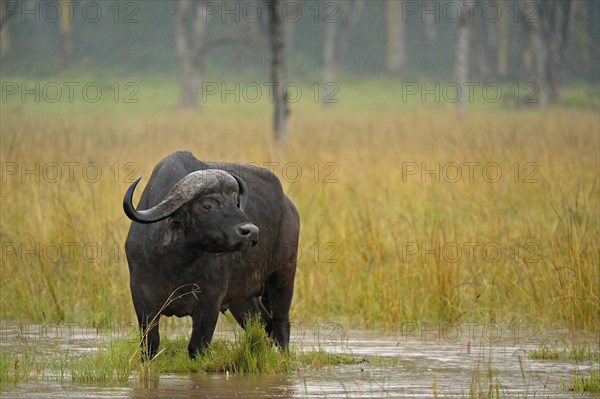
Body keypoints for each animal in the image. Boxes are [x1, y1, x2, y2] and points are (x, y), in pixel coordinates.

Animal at [122, 152, 300, 360]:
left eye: (235, 201)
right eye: (207, 205)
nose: (252, 232)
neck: (177, 264)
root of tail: (288, 206)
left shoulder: (210, 303)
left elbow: (197, 347)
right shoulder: (142, 299)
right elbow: (150, 344)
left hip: (283, 277)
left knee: (281, 324)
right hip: (243, 298)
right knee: (262, 324)